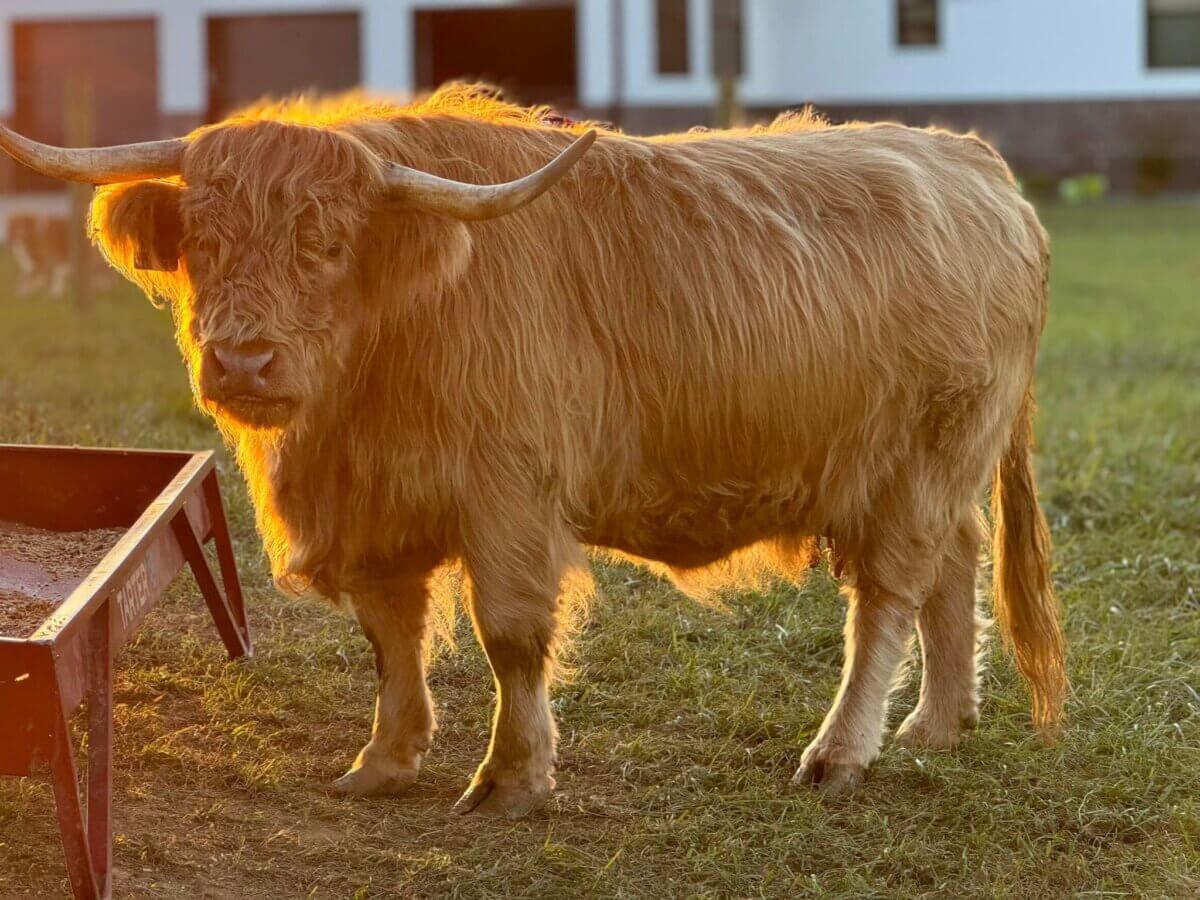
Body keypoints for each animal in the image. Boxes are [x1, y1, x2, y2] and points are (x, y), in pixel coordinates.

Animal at [0, 86, 1065, 817]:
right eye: (203, 235)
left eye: (328, 241)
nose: (243, 360)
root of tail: (973, 164)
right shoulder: (376, 509)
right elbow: (390, 636)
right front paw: (384, 761)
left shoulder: (508, 494)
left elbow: (508, 634)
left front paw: (512, 777)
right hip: (937, 471)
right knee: (952, 568)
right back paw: (936, 725)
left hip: (918, 460)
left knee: (887, 595)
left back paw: (842, 752)